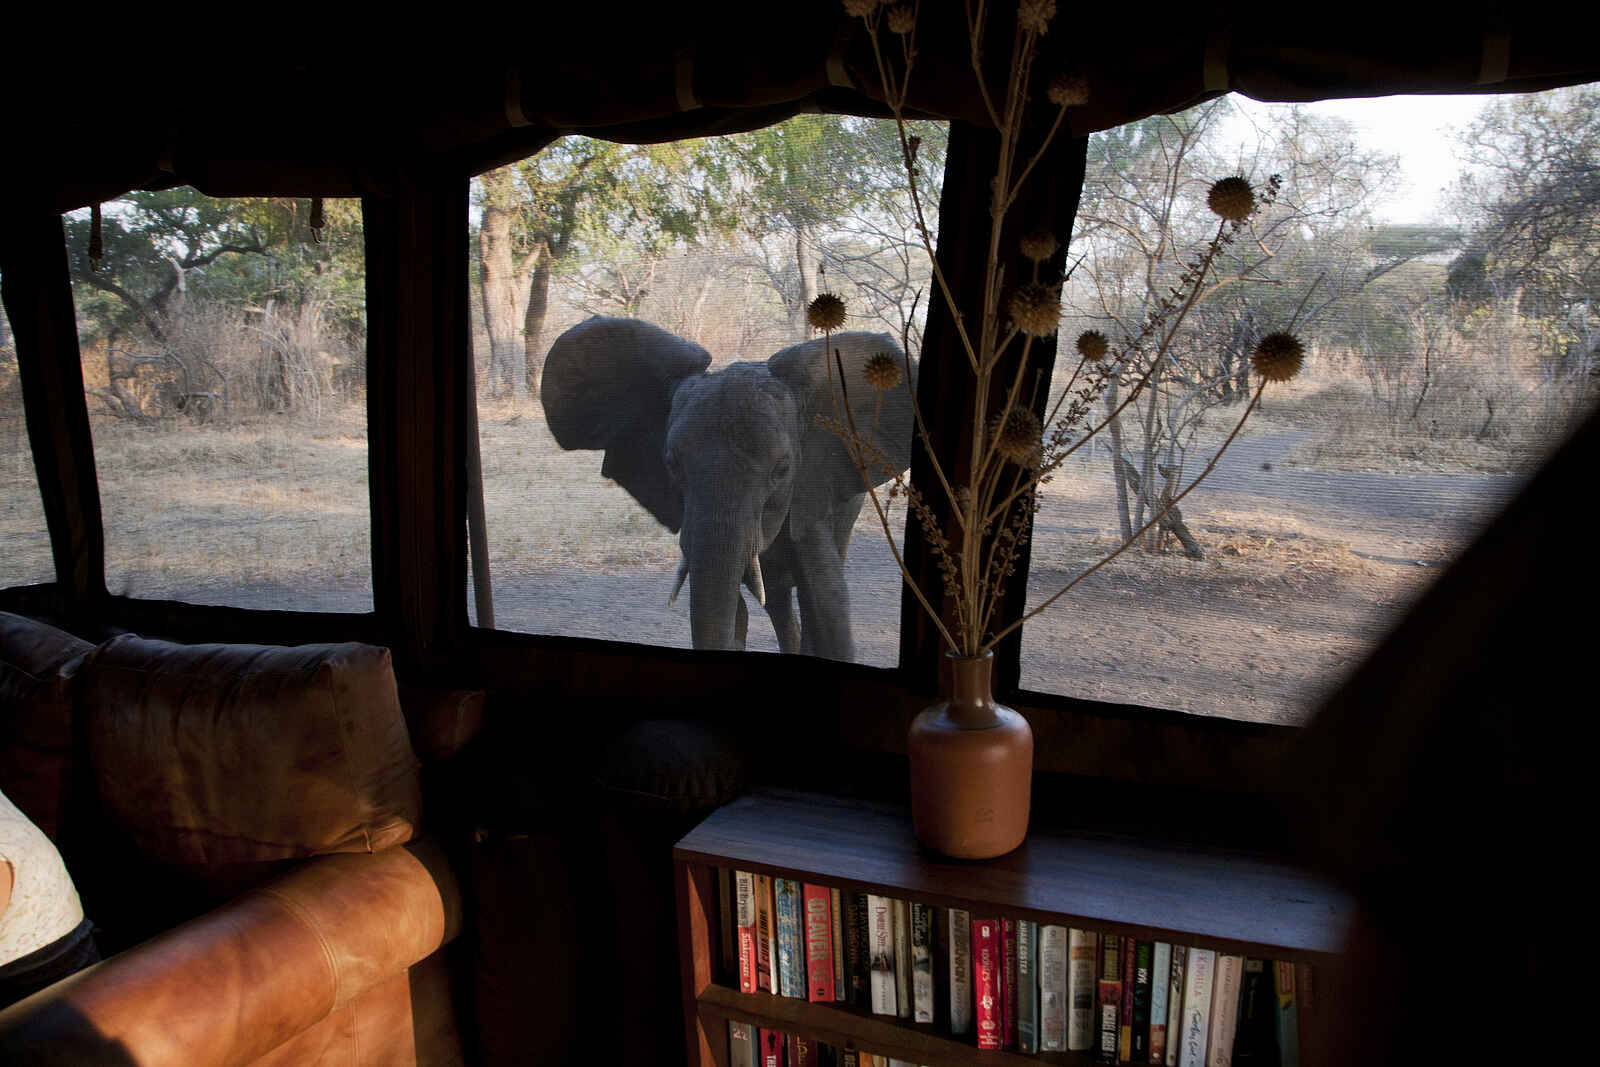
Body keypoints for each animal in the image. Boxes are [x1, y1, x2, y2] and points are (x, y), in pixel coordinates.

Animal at [540, 317, 916, 661]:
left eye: (782, 470)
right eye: (672, 465)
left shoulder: (810, 493)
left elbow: (828, 606)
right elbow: (733, 612)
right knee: (776, 600)